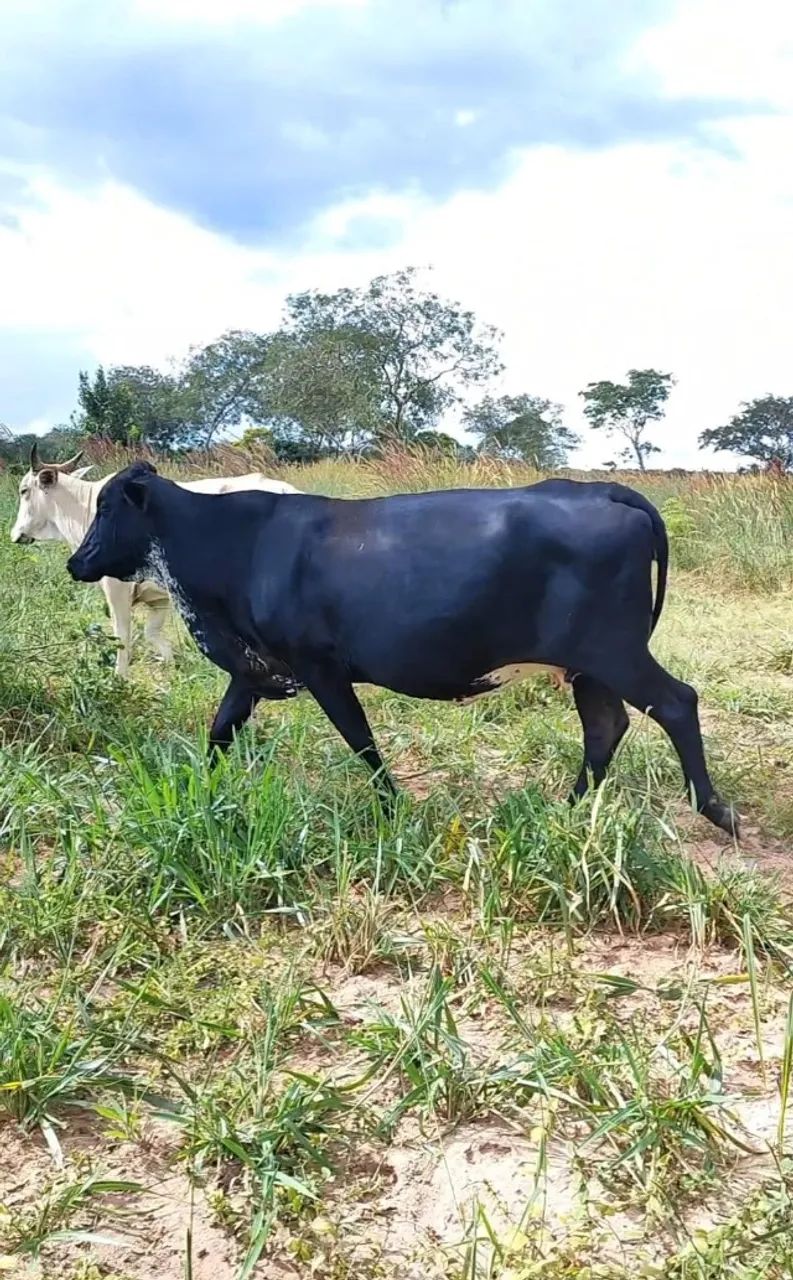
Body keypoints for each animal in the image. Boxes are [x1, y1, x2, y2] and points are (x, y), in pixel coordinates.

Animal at [11, 446, 299, 675]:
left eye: (24, 490)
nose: (15, 534)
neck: (83, 508)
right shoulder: (159, 599)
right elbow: (152, 633)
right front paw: (171, 664)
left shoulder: (117, 589)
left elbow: (122, 635)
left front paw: (119, 677)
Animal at [66, 462, 739, 836]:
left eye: (106, 508)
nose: (77, 561)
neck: (236, 545)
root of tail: (600, 489)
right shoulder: (256, 669)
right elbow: (220, 731)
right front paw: (199, 791)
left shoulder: (319, 665)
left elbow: (360, 739)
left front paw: (392, 806)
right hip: (590, 664)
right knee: (606, 726)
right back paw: (568, 808)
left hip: (615, 650)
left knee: (675, 702)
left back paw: (714, 810)